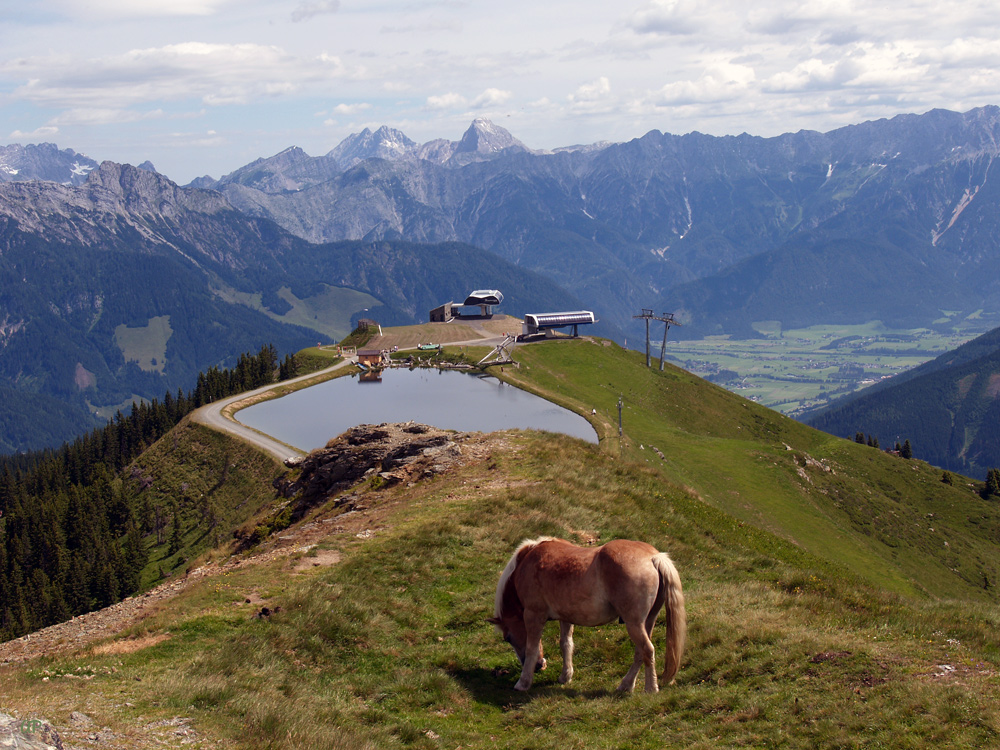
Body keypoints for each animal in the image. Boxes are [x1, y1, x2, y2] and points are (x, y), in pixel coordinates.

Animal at [488, 536, 684, 696]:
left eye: (508, 638)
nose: (538, 667)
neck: (529, 561)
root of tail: (652, 557)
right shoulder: (565, 617)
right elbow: (566, 644)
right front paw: (565, 676)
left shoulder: (533, 615)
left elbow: (531, 648)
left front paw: (523, 682)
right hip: (647, 622)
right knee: (640, 653)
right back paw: (626, 686)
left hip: (634, 624)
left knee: (647, 650)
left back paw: (651, 689)